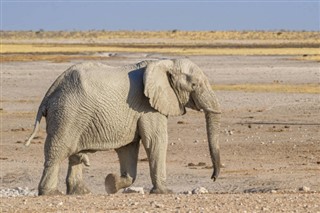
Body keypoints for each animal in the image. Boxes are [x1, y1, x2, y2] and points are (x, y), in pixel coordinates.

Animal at [25, 58, 221, 196]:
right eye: (194, 85)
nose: (213, 177)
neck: (165, 62)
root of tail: (49, 93)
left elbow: (128, 148)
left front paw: (111, 183)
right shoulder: (147, 106)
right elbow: (155, 141)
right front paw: (165, 192)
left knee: (74, 154)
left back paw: (81, 192)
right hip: (67, 113)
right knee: (58, 151)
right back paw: (51, 193)